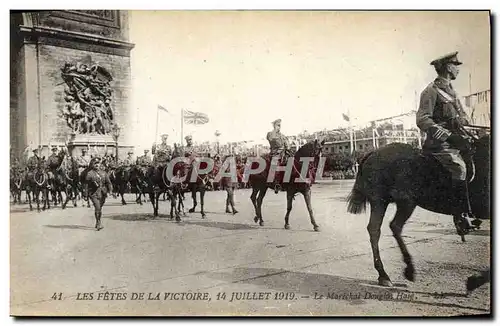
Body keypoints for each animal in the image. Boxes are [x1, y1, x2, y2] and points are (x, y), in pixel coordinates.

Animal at [346, 134, 490, 286]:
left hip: (387, 202)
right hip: (395, 201)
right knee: (389, 227)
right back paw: (396, 272)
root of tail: (373, 152)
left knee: (377, 229)